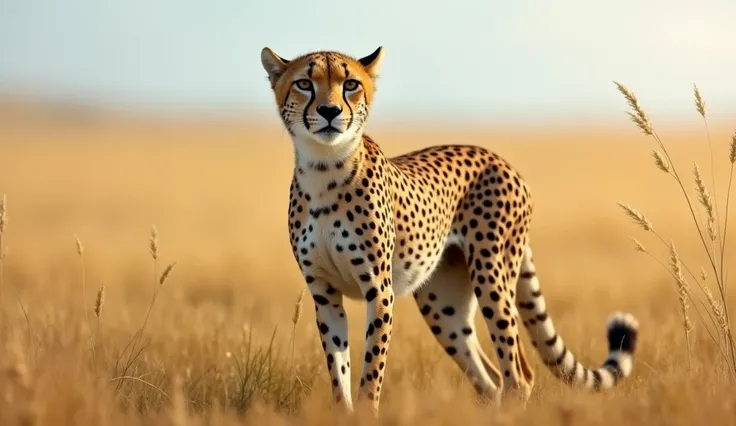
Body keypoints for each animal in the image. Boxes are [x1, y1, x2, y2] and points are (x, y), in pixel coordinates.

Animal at [258, 45, 640, 412]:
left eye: (350, 84)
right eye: (304, 84)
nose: (330, 111)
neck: (324, 168)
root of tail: (500, 159)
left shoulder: (379, 290)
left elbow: (371, 368)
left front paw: (367, 413)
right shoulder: (323, 293)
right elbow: (339, 370)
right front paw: (344, 412)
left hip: (491, 273)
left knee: (519, 374)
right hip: (442, 304)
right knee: (490, 379)